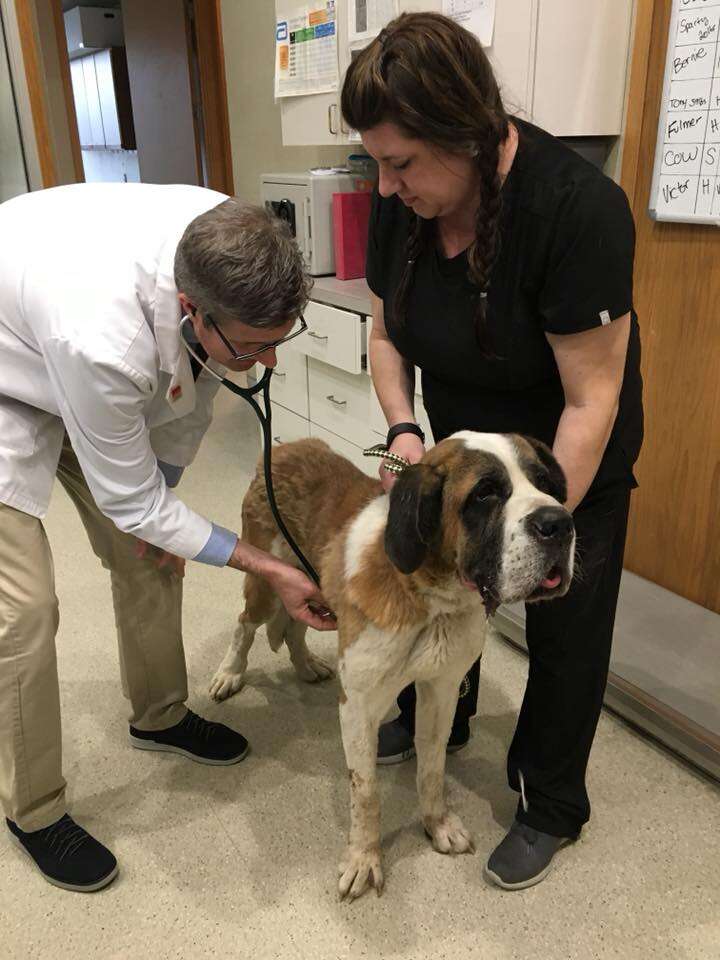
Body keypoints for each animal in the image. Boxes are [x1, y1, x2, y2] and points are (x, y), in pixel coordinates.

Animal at [208, 434, 572, 900]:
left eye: (545, 482)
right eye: (485, 493)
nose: (559, 523)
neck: (432, 598)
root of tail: (287, 445)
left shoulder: (441, 692)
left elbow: (432, 768)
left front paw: (436, 825)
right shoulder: (359, 707)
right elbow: (366, 793)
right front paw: (364, 859)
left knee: (294, 627)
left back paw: (306, 664)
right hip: (267, 585)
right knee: (246, 625)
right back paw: (230, 674)